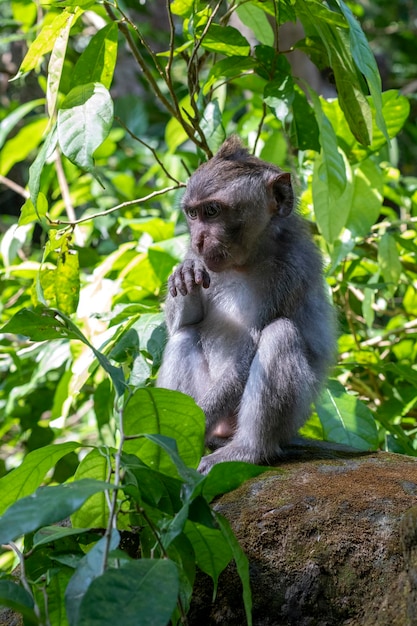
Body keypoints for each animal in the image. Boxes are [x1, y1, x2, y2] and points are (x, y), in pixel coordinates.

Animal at [156, 135, 334, 468]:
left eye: (213, 211)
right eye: (192, 214)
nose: (199, 239)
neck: (247, 260)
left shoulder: (292, 269)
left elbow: (249, 350)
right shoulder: (198, 257)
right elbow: (180, 325)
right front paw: (185, 275)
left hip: (288, 422)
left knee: (280, 334)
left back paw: (248, 449)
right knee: (185, 336)